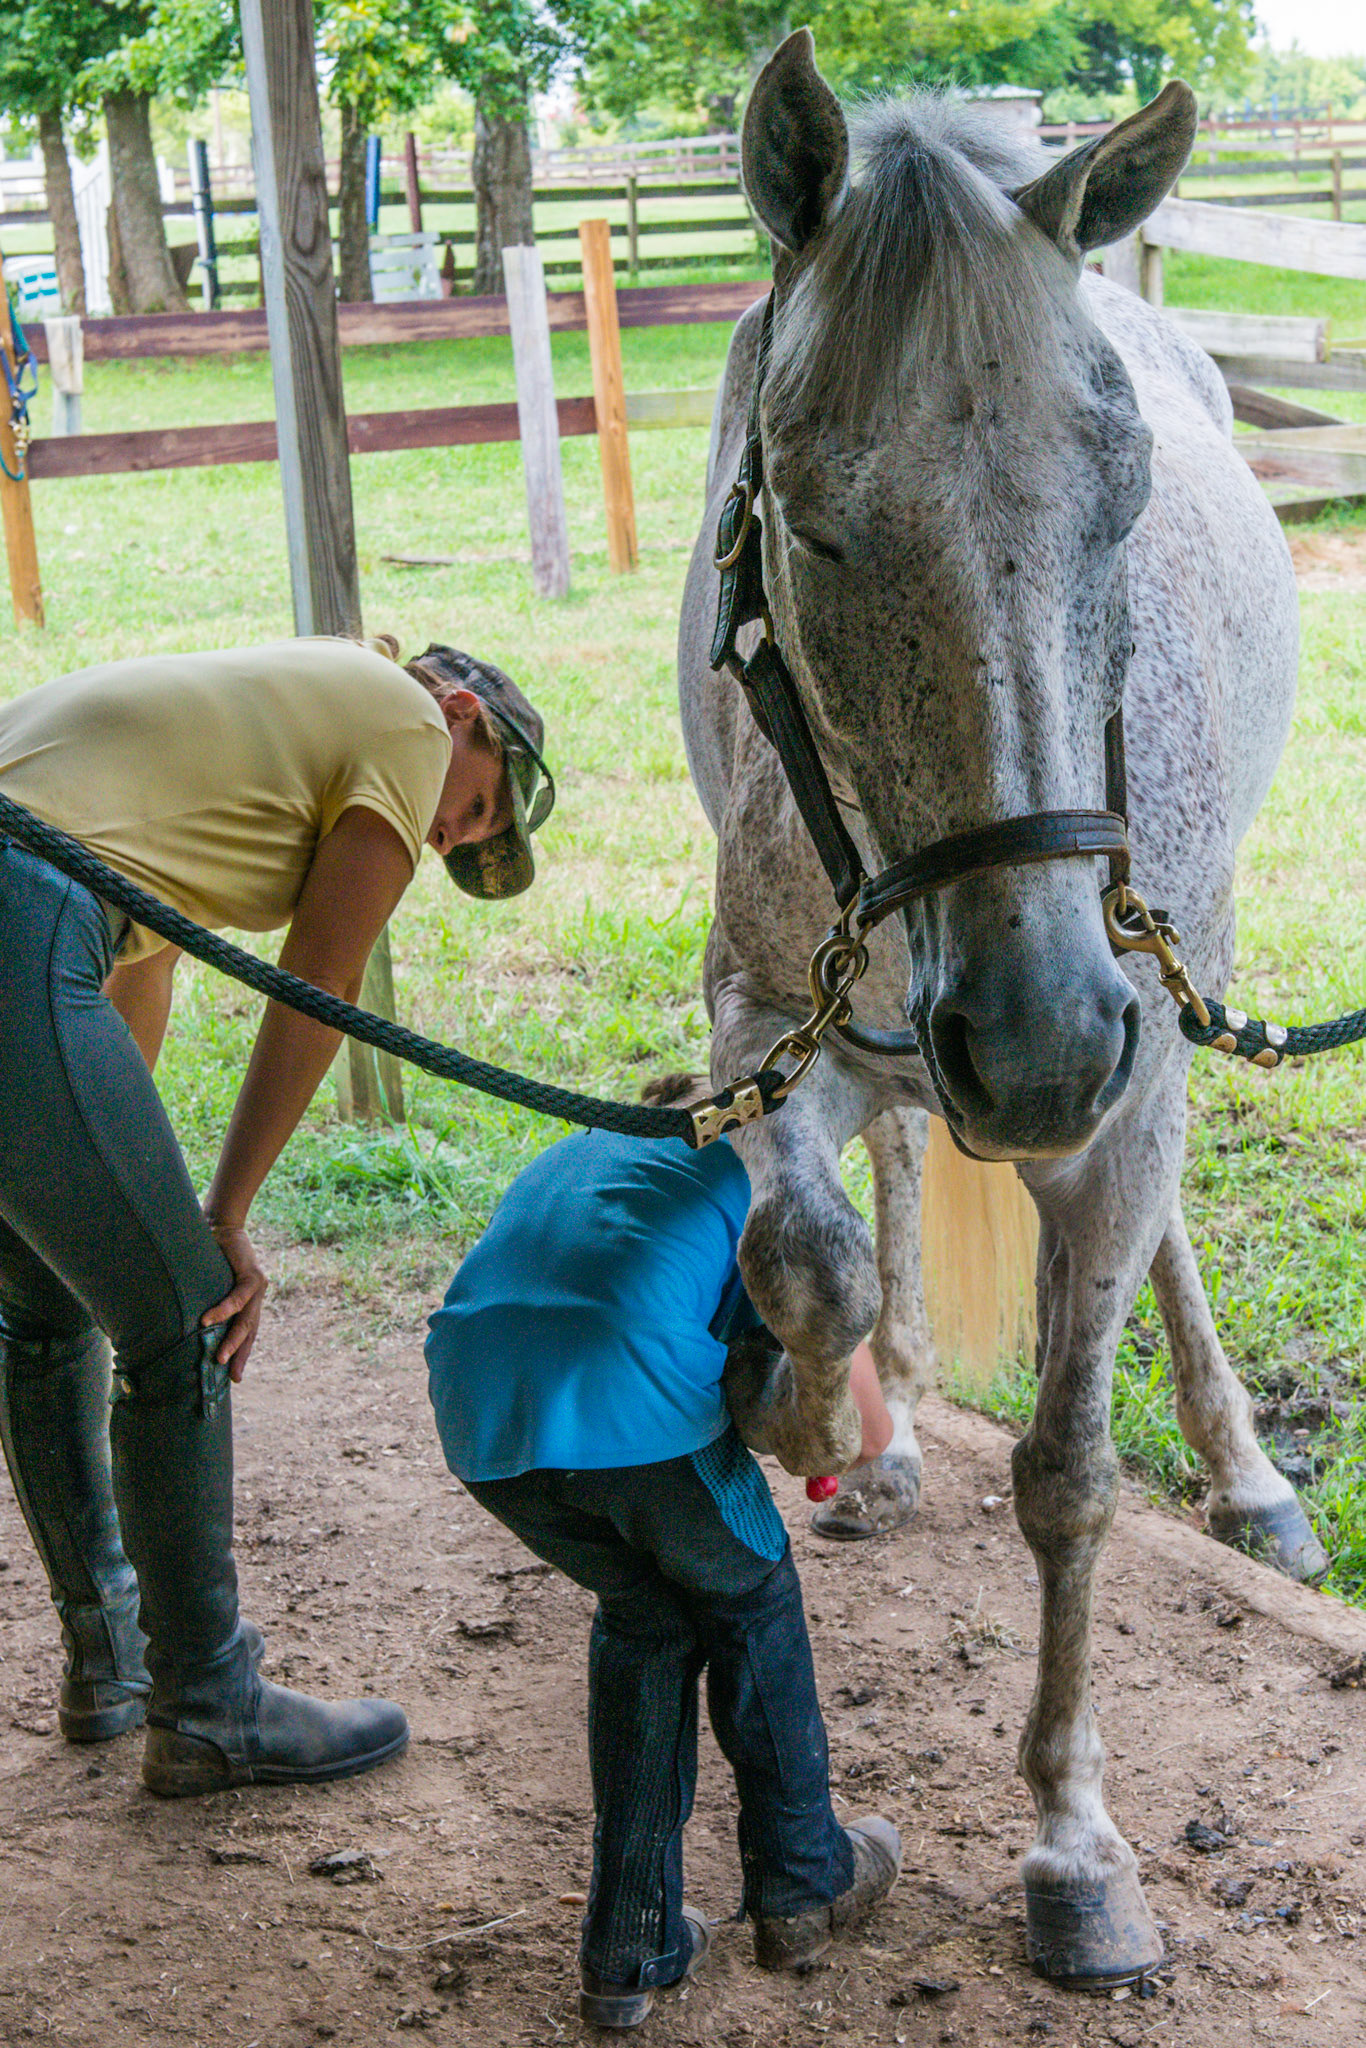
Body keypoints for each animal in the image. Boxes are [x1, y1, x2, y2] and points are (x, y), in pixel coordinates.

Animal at [678, 28, 1323, 1987]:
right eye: (808, 524)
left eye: (1122, 499)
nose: (1036, 1045)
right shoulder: (761, 1020)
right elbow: (807, 1251)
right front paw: (817, 1420)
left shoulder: (1123, 1067)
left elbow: (1068, 1474)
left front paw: (1074, 1842)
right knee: (892, 1146)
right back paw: (883, 1413)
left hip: (1170, 995)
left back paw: (1248, 1474)